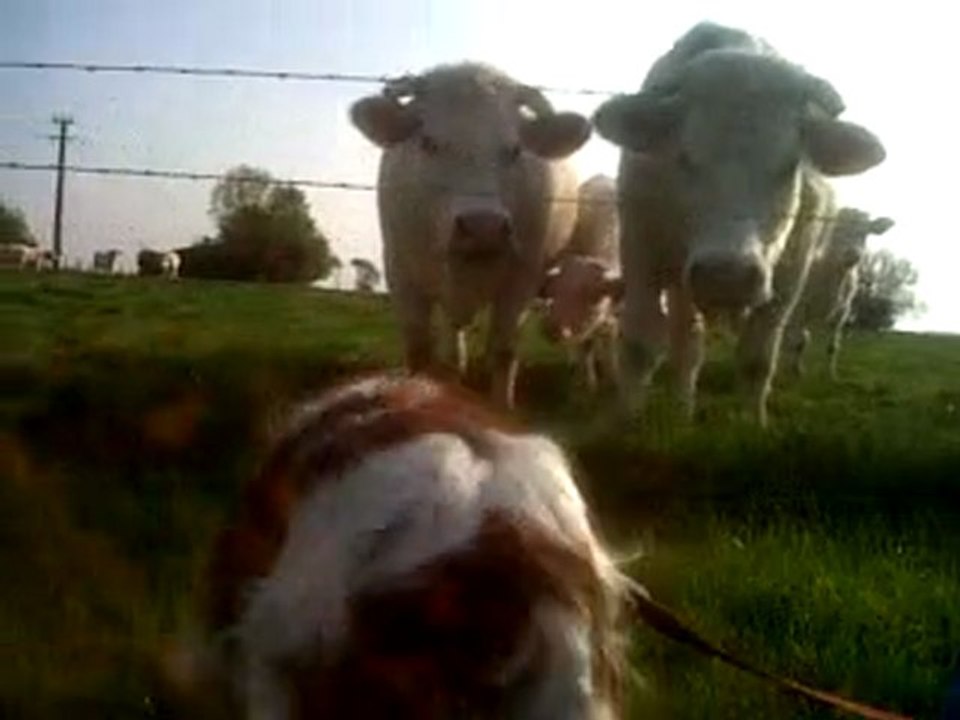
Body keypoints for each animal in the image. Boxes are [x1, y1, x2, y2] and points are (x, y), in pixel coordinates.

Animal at [349, 62, 592, 409]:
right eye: (429, 143)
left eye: (515, 150)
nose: (483, 227)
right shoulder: (399, 270)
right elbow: (419, 350)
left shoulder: (523, 279)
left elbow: (503, 351)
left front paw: (501, 409)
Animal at [537, 175, 624, 393]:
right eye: (554, 292)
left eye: (592, 298)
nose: (551, 328)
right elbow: (587, 346)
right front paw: (590, 383)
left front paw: (614, 378)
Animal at [784, 208, 895, 378]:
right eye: (836, 228)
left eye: (865, 231)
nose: (852, 254)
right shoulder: (799, 307)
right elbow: (798, 341)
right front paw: (795, 372)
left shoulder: (843, 311)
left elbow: (832, 346)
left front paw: (831, 375)